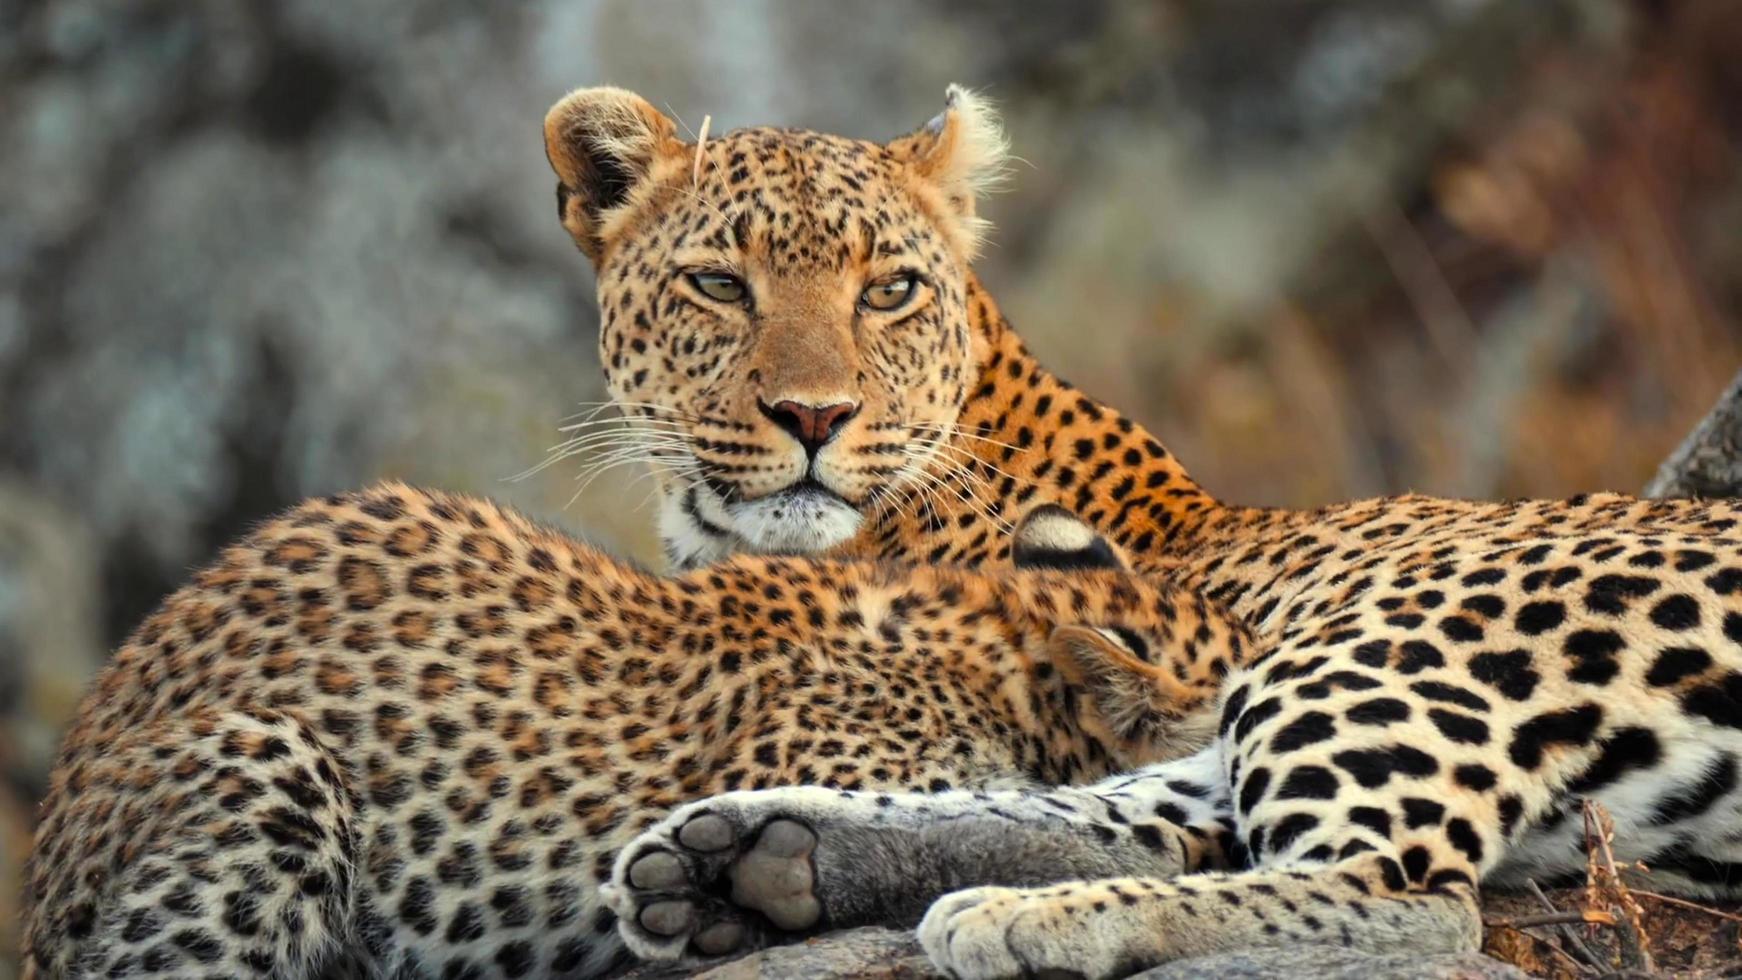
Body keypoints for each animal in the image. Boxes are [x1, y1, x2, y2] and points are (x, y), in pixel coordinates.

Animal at [540, 88, 1742, 974]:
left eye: (887, 290)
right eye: (716, 284)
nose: (813, 416)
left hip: (1384, 642)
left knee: (1407, 894)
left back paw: (1010, 918)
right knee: (1125, 815)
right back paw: (745, 855)